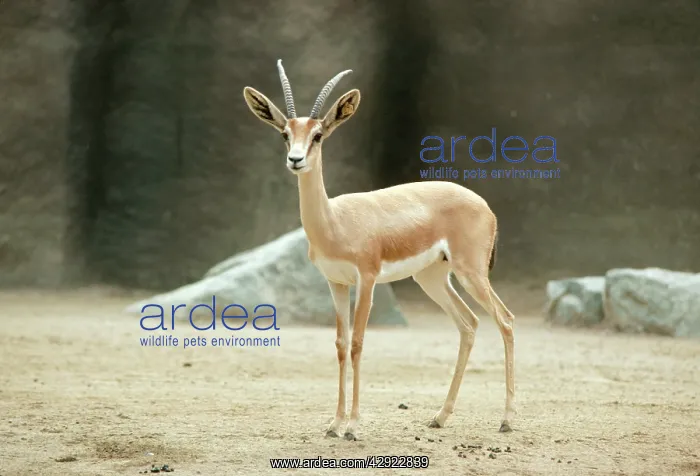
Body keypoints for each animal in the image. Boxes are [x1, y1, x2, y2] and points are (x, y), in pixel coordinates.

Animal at [242, 60, 516, 440]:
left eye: (318, 135)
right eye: (285, 133)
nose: (295, 160)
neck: (335, 221)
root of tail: (486, 207)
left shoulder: (367, 279)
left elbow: (358, 343)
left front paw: (353, 426)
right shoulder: (336, 282)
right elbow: (341, 345)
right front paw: (334, 424)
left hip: (471, 273)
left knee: (505, 320)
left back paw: (506, 420)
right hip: (432, 278)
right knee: (469, 323)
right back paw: (440, 417)